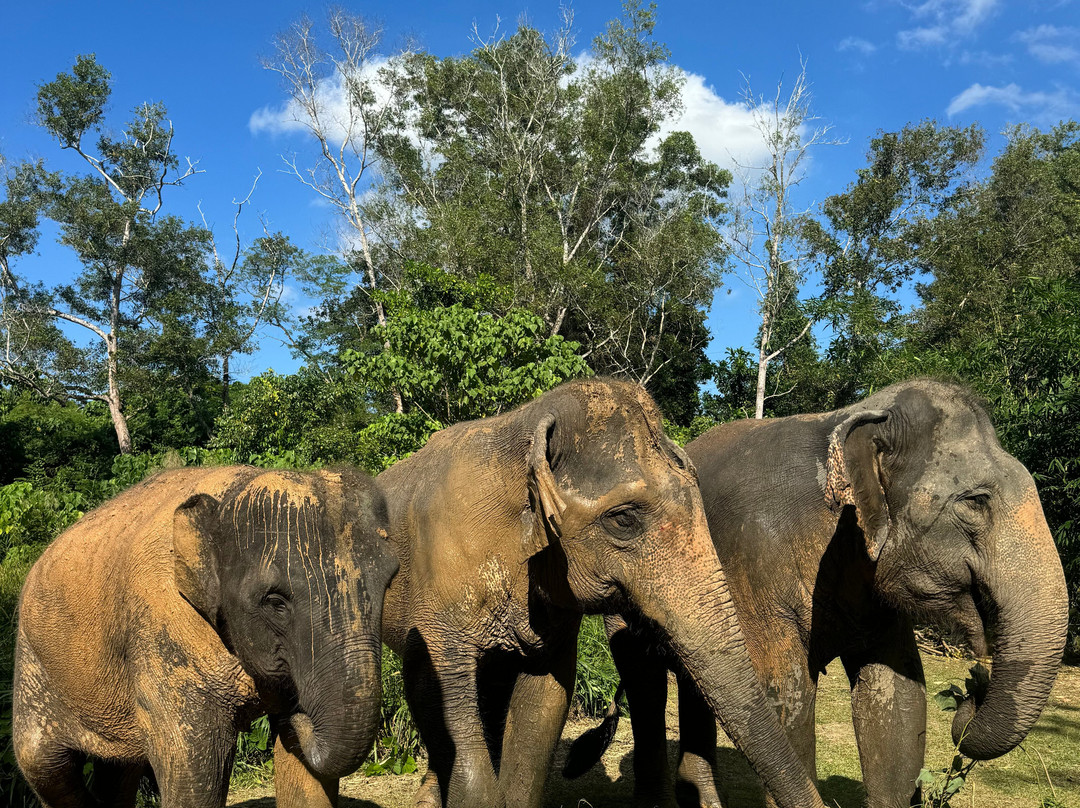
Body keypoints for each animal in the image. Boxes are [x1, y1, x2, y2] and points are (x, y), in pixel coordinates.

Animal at [13, 465, 398, 808]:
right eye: (275, 602)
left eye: (389, 581)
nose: (301, 715)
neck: (229, 495)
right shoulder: (164, 624)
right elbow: (196, 766)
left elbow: (306, 779)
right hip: (33, 662)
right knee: (43, 762)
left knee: (119, 769)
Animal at [566, 378, 1069, 808]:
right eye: (976, 502)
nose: (974, 687)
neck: (855, 419)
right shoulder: (755, 566)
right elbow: (786, 695)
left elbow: (898, 699)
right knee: (645, 680)